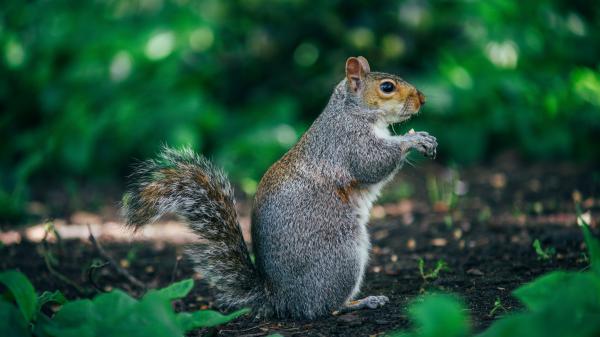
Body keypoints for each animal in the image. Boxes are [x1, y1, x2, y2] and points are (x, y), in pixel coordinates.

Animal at [122, 56, 436, 318]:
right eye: (387, 87)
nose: (422, 99)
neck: (353, 111)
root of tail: (281, 299)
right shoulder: (348, 142)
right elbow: (373, 163)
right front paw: (413, 139)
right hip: (342, 254)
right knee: (325, 307)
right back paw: (361, 302)